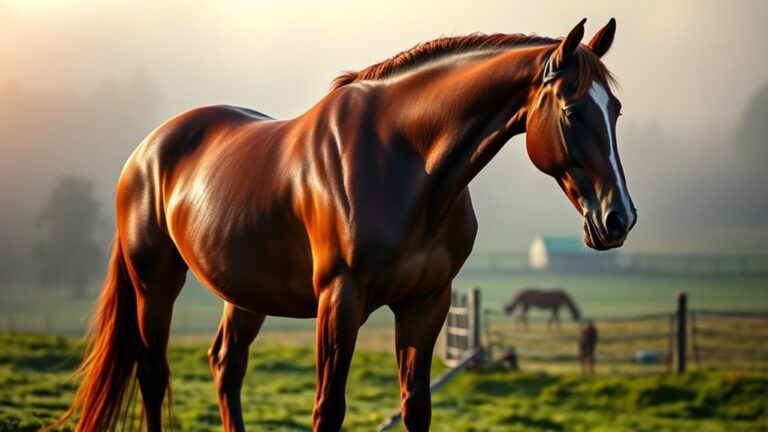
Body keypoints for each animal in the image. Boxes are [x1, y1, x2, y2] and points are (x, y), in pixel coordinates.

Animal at [52, 18, 635, 432]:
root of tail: (146, 151)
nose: (619, 218)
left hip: (244, 293)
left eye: (616, 111)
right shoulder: (340, 299)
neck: (408, 165)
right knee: (153, 375)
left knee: (226, 365)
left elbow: (416, 407)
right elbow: (328, 409)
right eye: (572, 111)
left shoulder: (427, 303)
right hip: (155, 283)